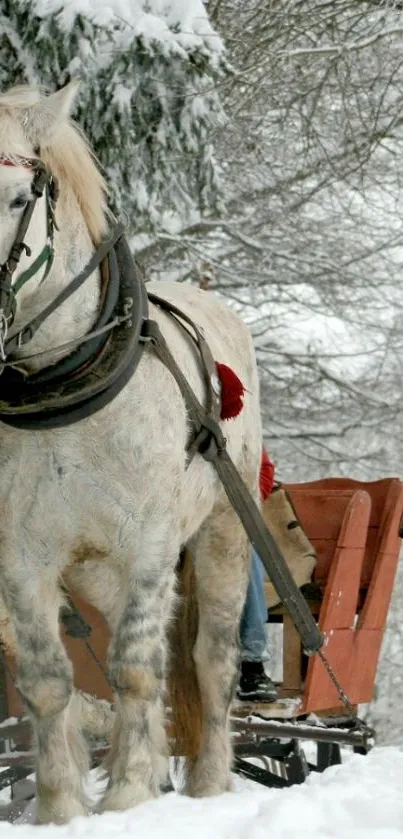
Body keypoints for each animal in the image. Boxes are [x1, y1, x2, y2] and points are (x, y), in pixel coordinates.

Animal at [0, 82, 262, 824]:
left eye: (18, 197)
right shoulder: (23, 557)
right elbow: (48, 680)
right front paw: (63, 807)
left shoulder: (150, 543)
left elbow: (139, 669)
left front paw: (128, 797)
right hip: (96, 570)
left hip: (222, 533)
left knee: (207, 661)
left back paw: (206, 786)